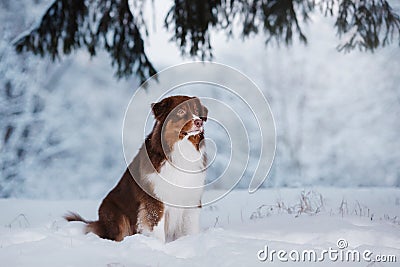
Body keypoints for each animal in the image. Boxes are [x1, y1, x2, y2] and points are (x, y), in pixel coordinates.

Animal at [64, 96, 208, 243]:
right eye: (180, 111)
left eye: (196, 110)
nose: (199, 121)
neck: (182, 150)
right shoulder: (155, 201)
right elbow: (157, 230)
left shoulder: (191, 199)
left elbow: (190, 228)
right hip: (115, 214)